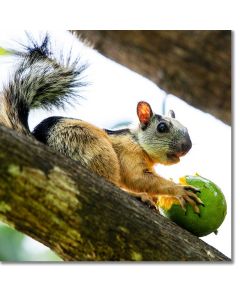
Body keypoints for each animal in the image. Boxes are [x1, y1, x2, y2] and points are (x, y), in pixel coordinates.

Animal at [0, 34, 202, 213]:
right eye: (162, 127)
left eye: (186, 127)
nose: (187, 146)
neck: (136, 141)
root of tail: (40, 139)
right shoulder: (129, 155)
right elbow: (139, 179)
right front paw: (179, 190)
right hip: (94, 149)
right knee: (110, 183)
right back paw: (136, 196)